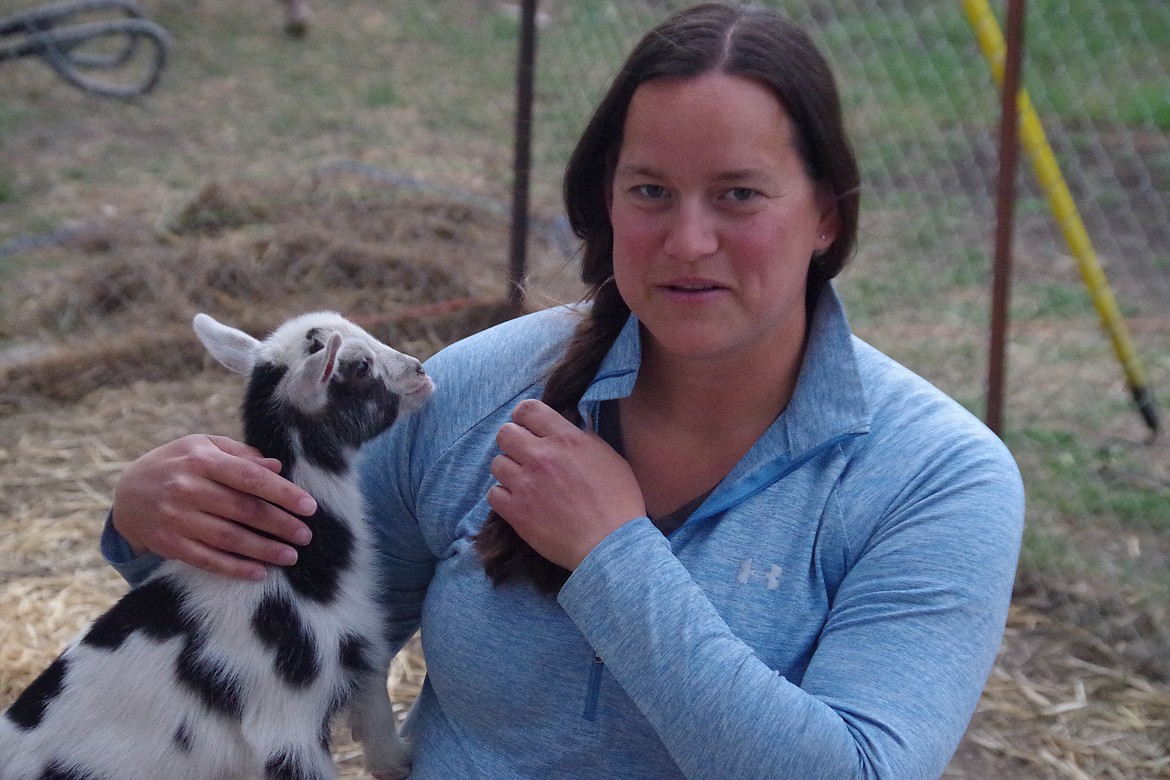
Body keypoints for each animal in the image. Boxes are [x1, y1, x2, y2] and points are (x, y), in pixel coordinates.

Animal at [2, 311, 432, 780]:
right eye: (360, 367)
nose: (420, 371)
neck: (301, 572)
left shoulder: (360, 651)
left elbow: (375, 712)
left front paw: (399, 761)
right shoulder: (285, 721)